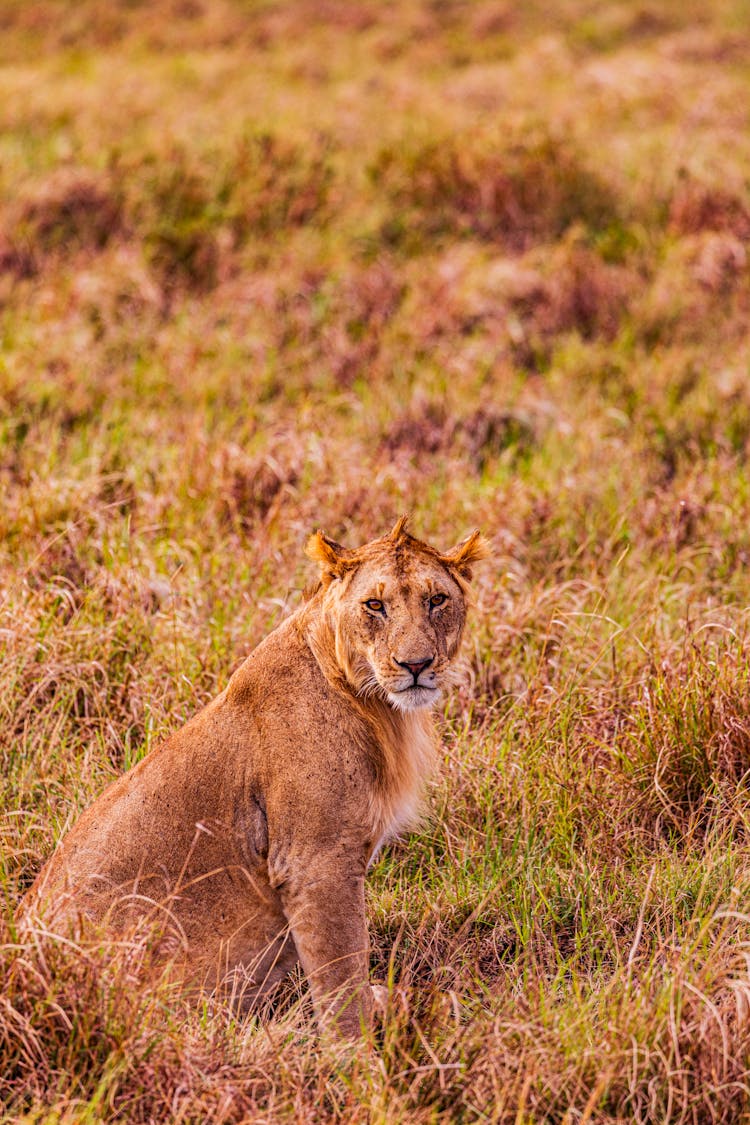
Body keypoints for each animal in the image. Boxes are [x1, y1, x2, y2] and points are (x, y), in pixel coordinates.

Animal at [20, 517, 490, 1035]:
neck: (374, 706)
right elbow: (342, 982)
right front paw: (357, 1054)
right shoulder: (315, 864)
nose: (416, 665)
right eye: (375, 605)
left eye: (436, 600)